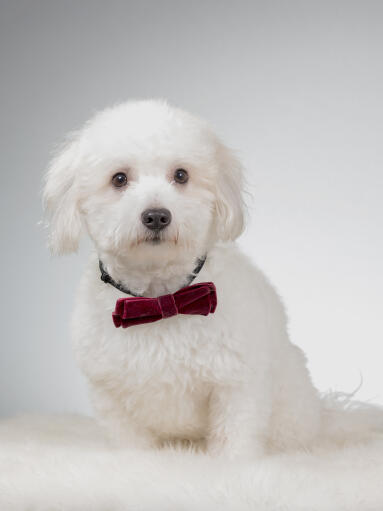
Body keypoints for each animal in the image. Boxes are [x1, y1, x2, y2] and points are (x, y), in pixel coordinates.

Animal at [43, 100, 380, 460]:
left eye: (181, 175)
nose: (157, 216)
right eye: (119, 179)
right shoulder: (111, 395)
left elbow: (235, 439)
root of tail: (323, 418)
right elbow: (131, 445)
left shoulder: (236, 385)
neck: (161, 300)